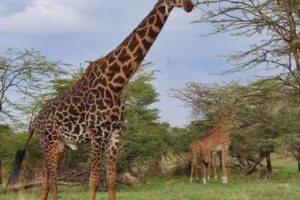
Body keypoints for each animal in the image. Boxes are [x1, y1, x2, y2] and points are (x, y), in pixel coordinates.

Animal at [7, 0, 196, 200]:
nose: (190, 6)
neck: (117, 82)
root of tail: (34, 123)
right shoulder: (97, 134)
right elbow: (94, 181)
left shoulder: (115, 133)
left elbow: (111, 180)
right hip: (47, 141)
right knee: (52, 179)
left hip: (59, 145)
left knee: (45, 179)